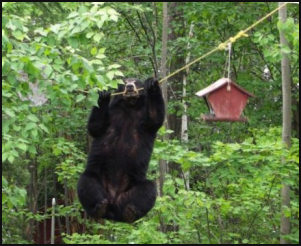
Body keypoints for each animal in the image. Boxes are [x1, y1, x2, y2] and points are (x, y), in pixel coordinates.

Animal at [76, 77, 163, 223]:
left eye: (136, 82)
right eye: (125, 82)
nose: (129, 86)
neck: (130, 106)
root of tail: (113, 209)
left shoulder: (144, 118)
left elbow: (155, 117)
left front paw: (152, 84)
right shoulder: (112, 114)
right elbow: (95, 126)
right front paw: (104, 94)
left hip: (133, 187)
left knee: (148, 189)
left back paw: (130, 212)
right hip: (97, 179)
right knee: (86, 183)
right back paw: (99, 208)